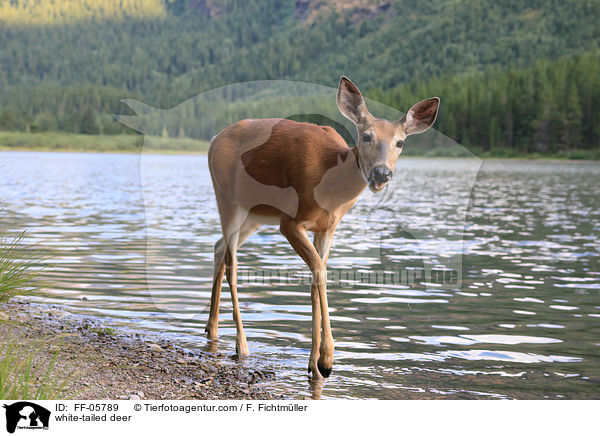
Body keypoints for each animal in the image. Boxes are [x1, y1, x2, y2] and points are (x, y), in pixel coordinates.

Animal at [207, 76, 440, 378]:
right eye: (366, 136)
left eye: (400, 142)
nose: (381, 173)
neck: (330, 185)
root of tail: (213, 140)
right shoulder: (290, 221)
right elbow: (320, 271)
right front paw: (327, 359)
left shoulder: (328, 227)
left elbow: (315, 279)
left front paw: (313, 363)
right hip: (228, 198)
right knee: (232, 264)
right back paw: (241, 344)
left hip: (255, 215)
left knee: (218, 247)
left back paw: (211, 329)